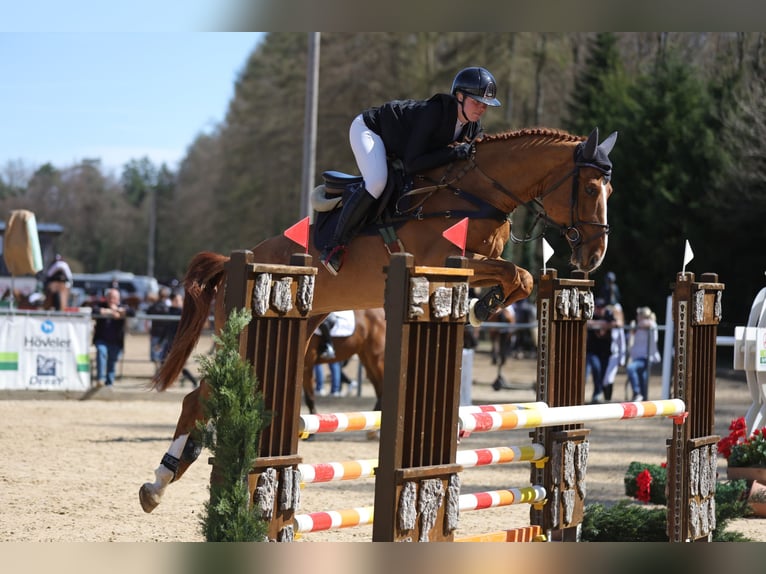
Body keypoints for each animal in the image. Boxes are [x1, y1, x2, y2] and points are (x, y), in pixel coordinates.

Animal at [138, 126, 618, 513]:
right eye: (591, 190)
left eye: (608, 193)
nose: (594, 258)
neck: (476, 192)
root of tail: (236, 260)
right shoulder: (449, 262)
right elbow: (515, 273)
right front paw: (483, 307)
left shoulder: (479, 264)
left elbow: (521, 277)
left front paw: (484, 307)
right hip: (249, 334)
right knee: (196, 398)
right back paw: (159, 482)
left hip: (304, 327)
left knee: (212, 396)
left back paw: (182, 465)